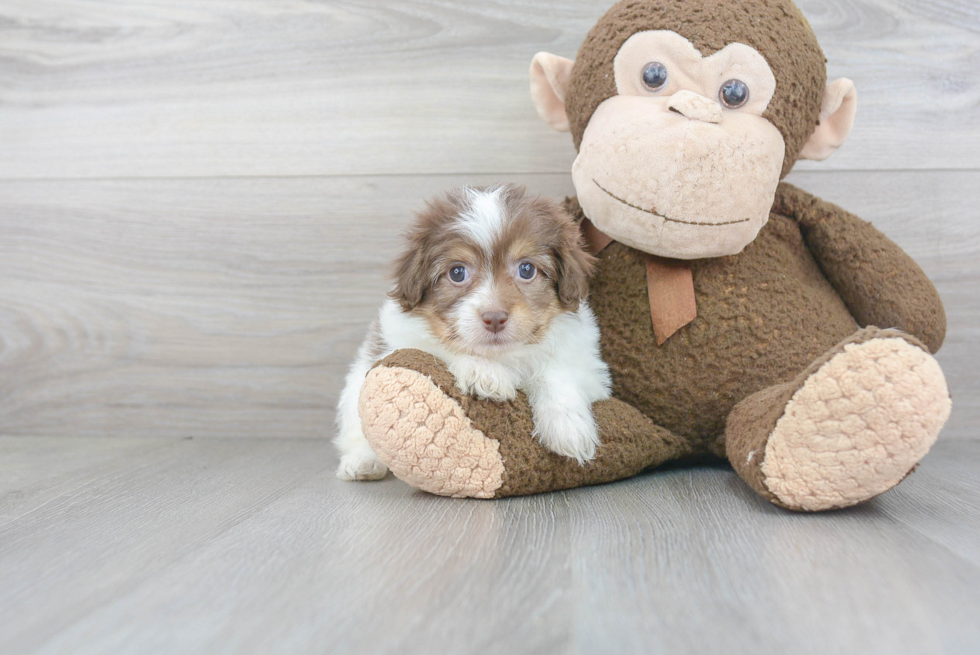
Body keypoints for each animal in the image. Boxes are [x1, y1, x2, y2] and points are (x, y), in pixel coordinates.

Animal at [336, 184, 612, 482]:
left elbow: (555, 371)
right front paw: (485, 373)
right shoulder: (402, 341)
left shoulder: (589, 367)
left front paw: (568, 428)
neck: (503, 356)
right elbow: (442, 349)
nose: (495, 318)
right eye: (458, 273)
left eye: (527, 269)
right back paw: (362, 462)